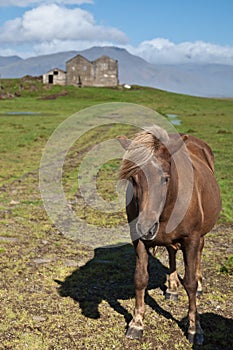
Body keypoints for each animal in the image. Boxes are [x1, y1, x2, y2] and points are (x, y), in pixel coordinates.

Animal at [117, 125, 221, 344]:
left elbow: (190, 282)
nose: (146, 227)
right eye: (133, 179)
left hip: (200, 235)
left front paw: (194, 328)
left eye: (165, 178)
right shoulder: (138, 240)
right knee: (172, 251)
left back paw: (199, 283)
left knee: (199, 253)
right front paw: (136, 323)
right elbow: (140, 278)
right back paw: (172, 288)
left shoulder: (191, 239)